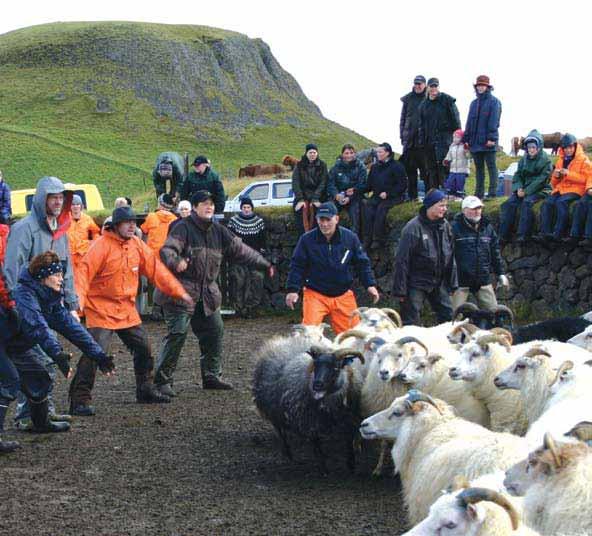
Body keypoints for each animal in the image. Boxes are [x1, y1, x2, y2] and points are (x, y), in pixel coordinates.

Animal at [251, 336, 364, 474]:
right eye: (315, 365)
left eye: (336, 367)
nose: (317, 384)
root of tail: (276, 343)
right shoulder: (309, 421)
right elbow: (317, 446)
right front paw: (324, 469)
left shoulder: (349, 419)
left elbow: (348, 441)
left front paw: (351, 465)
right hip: (272, 409)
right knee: (279, 430)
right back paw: (288, 453)